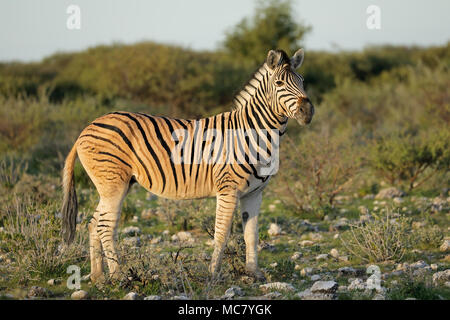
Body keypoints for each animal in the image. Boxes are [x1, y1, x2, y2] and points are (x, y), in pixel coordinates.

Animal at [61, 48, 314, 282]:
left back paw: (98, 276)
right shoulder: (228, 189)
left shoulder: (255, 193)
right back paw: (118, 276)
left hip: (110, 186)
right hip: (114, 183)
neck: (253, 134)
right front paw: (213, 274)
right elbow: (221, 233)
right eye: (279, 83)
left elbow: (251, 235)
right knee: (106, 226)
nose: (307, 111)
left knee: (94, 224)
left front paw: (254, 274)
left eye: (302, 81)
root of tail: (87, 127)